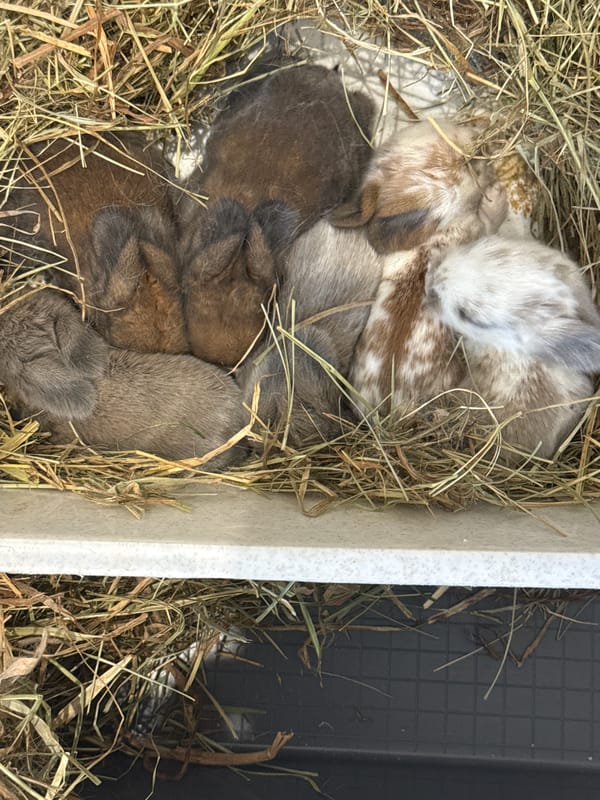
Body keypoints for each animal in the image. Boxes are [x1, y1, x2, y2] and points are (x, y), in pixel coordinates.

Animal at [343, 120, 508, 415]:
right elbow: (489, 222)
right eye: (472, 166)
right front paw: (496, 195)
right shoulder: (478, 229)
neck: (431, 240)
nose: (478, 137)